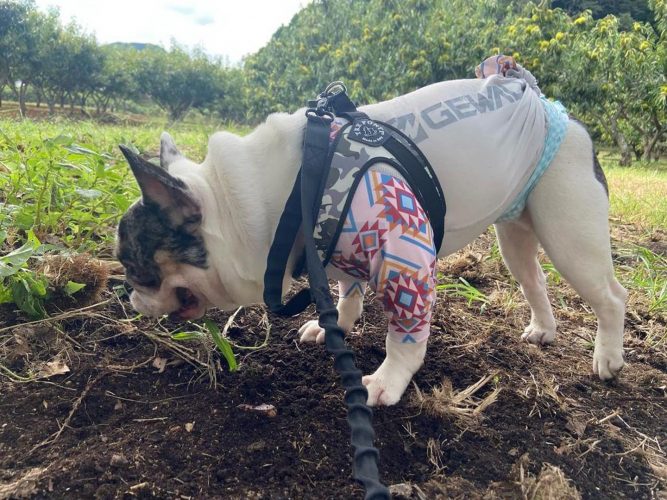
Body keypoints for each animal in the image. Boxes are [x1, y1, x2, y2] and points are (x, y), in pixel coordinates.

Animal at [116, 73, 626, 407]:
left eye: (134, 267)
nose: (126, 295)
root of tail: (557, 113)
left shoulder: (405, 250)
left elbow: (404, 334)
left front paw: (388, 380)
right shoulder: (337, 249)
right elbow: (347, 291)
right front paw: (334, 324)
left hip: (570, 234)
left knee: (611, 296)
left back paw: (608, 358)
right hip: (516, 233)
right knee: (534, 279)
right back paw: (543, 330)